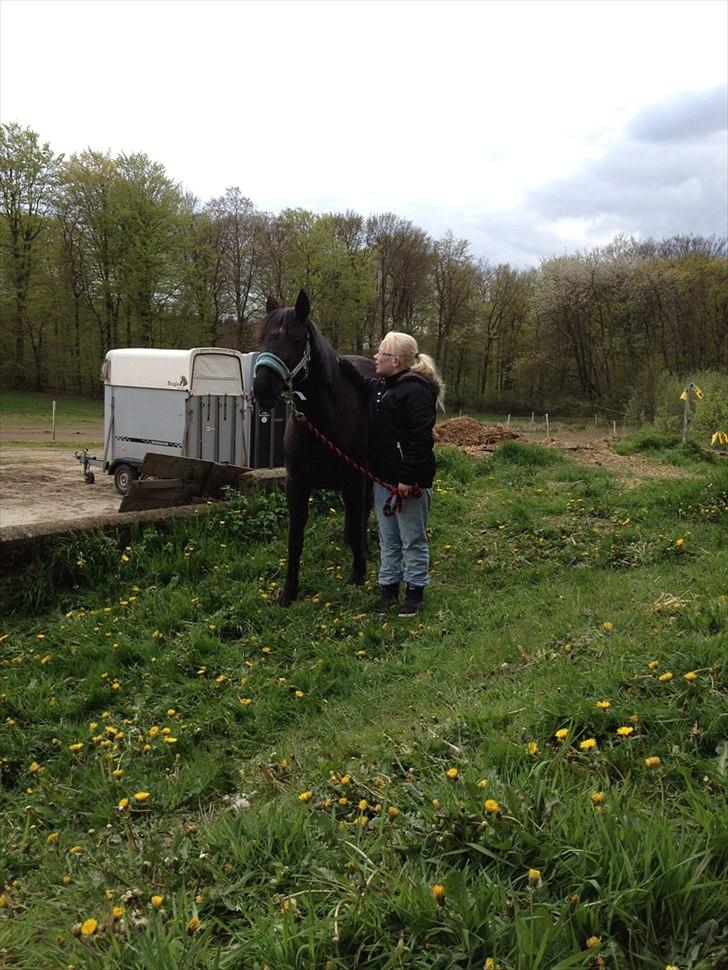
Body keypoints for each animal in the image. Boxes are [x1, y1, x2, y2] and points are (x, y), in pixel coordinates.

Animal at [252, 290, 376, 606]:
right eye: (261, 339)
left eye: (296, 339)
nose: (262, 389)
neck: (325, 419)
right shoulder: (296, 484)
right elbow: (295, 538)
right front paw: (288, 592)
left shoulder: (354, 478)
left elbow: (358, 519)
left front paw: (358, 574)